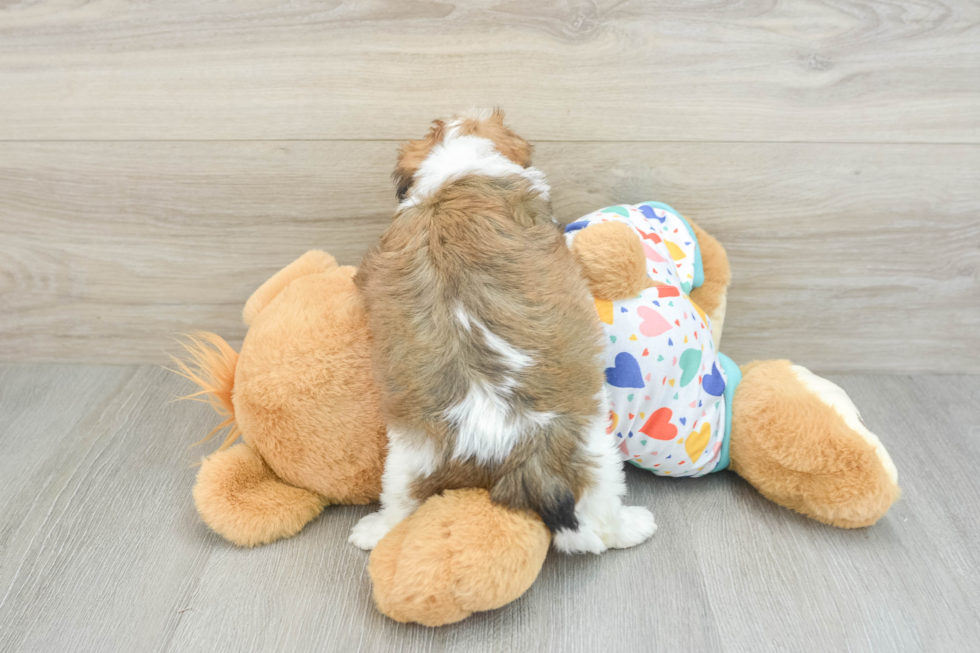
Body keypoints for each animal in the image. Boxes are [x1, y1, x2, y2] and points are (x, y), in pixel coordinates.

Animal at [348, 109, 656, 552]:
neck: (457, 171)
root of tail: (496, 442)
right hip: (592, 448)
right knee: (599, 518)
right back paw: (633, 526)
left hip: (407, 457)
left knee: (400, 504)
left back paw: (373, 531)